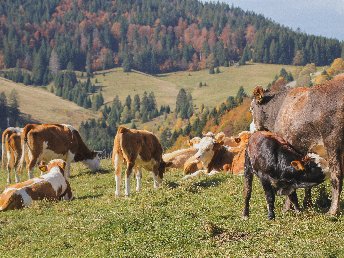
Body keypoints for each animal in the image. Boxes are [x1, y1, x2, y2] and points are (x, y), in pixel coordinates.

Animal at [250, 79, 344, 216]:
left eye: (251, 108)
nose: (252, 129)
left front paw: (287, 208)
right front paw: (308, 203)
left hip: (332, 142)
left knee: (336, 174)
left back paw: (332, 211)